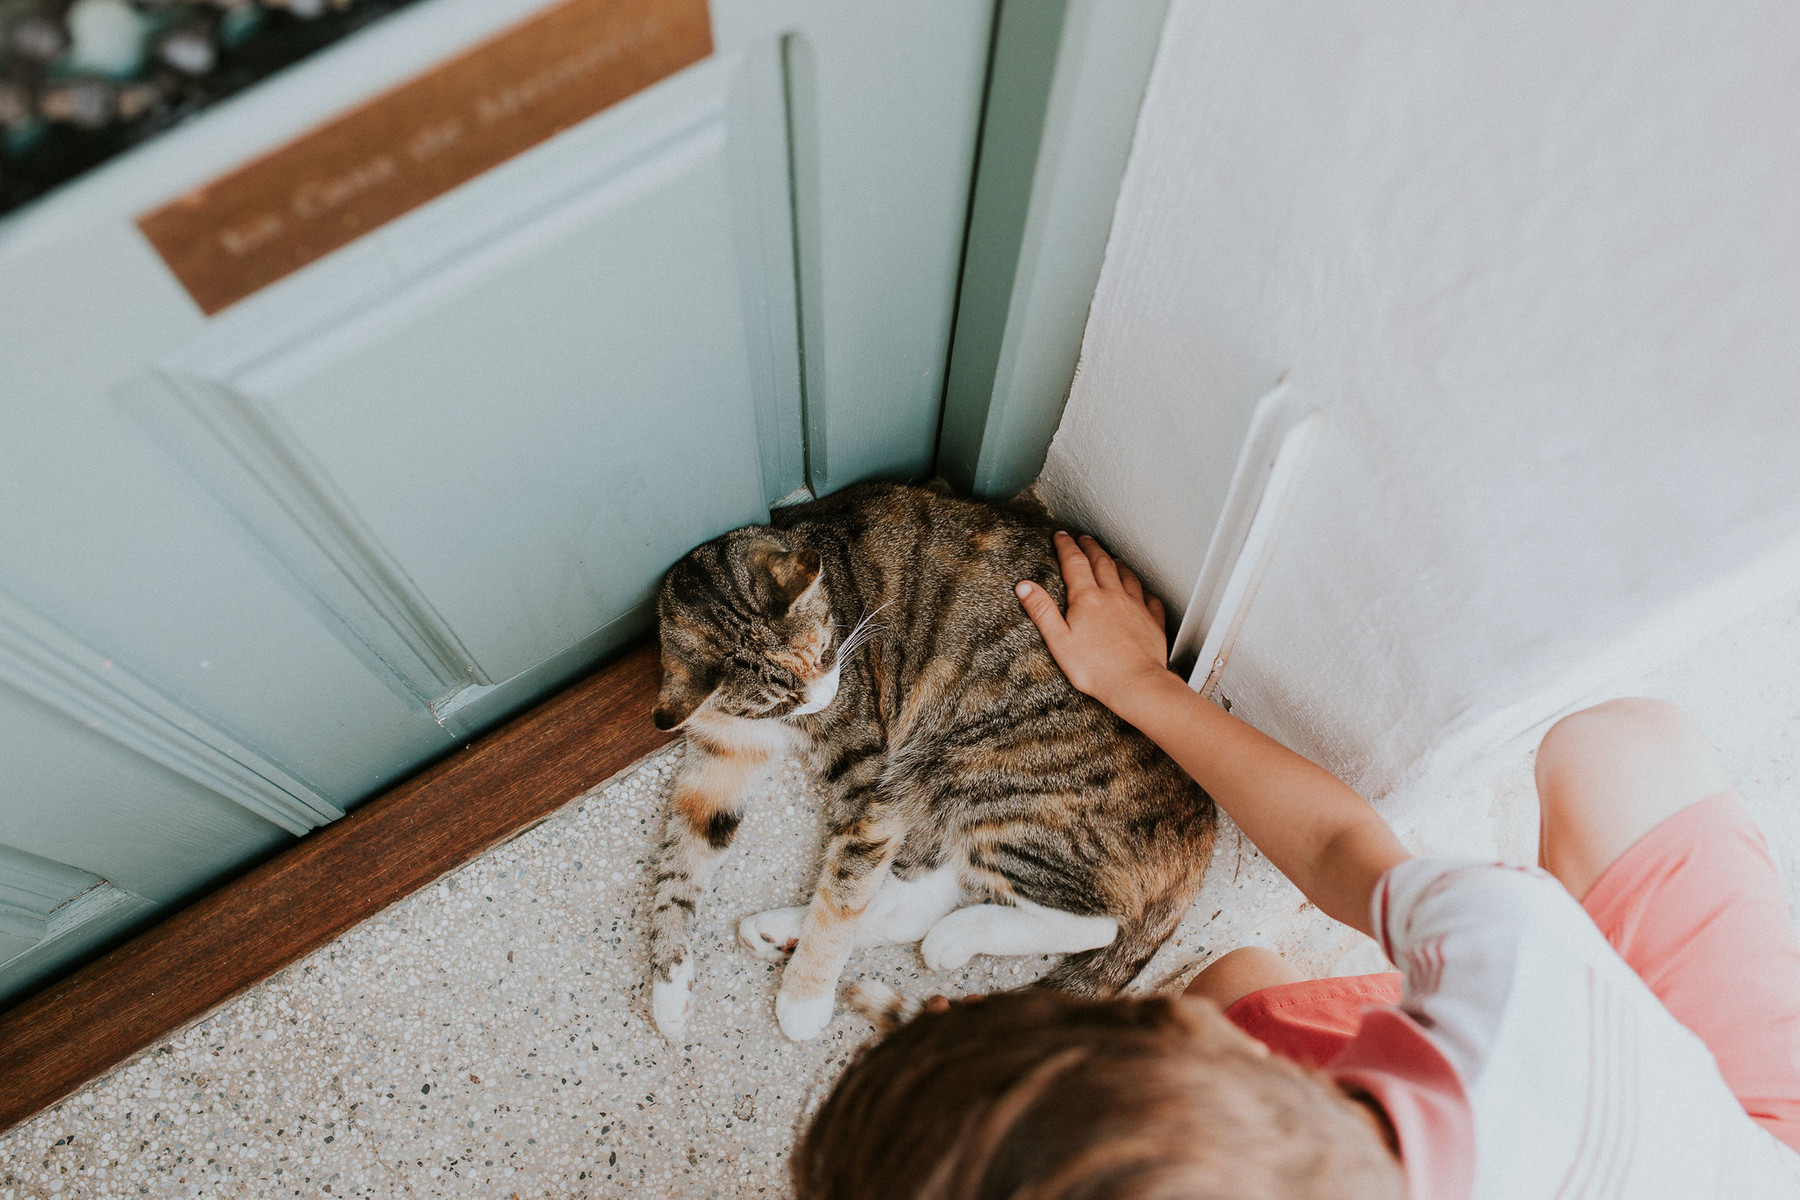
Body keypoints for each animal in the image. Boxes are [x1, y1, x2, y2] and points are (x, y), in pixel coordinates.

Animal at [640, 478, 1216, 1043]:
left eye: (824, 650)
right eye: (779, 701)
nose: (824, 696)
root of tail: (1204, 823)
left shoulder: (869, 771)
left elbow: (845, 887)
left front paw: (804, 997)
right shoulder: (721, 753)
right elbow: (679, 862)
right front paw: (668, 986)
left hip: (975, 773)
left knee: (1096, 923)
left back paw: (944, 936)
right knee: (920, 896)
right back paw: (781, 931)